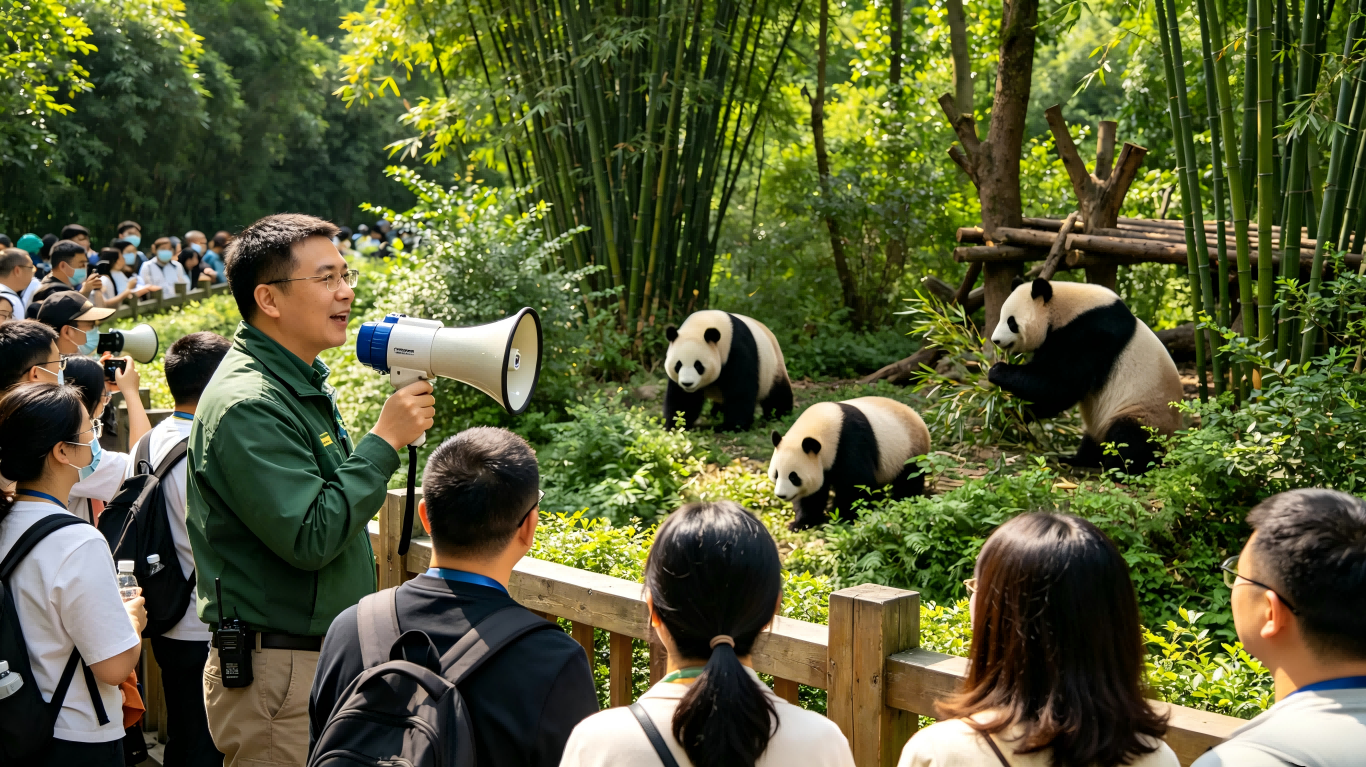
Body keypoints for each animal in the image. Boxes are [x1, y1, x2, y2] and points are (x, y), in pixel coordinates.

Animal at [663, 310, 793, 431]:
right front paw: (675, 424)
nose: (687, 383)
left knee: (777, 396)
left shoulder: (736, 349)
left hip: (772, 369)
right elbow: (683, 398)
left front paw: (732, 426)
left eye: (698, 365)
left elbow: (740, 390)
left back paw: (780, 414)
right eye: (678, 365)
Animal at [769, 397, 931, 530]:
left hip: (909, 451)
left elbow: (856, 485)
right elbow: (812, 494)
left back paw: (903, 501)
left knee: (908, 481)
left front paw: (842, 516)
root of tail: (920, 419)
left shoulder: (850, 442)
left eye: (793, 477)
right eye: (776, 474)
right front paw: (802, 523)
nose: (781, 495)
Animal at [987, 278, 1183, 474]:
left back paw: (1118, 470)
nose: (995, 340)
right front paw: (1015, 412)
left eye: (1011, 322)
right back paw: (1077, 460)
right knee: (1094, 440)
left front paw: (998, 371)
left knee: (1128, 439)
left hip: (1145, 414)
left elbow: (1059, 385)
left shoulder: (1091, 333)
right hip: (1100, 425)